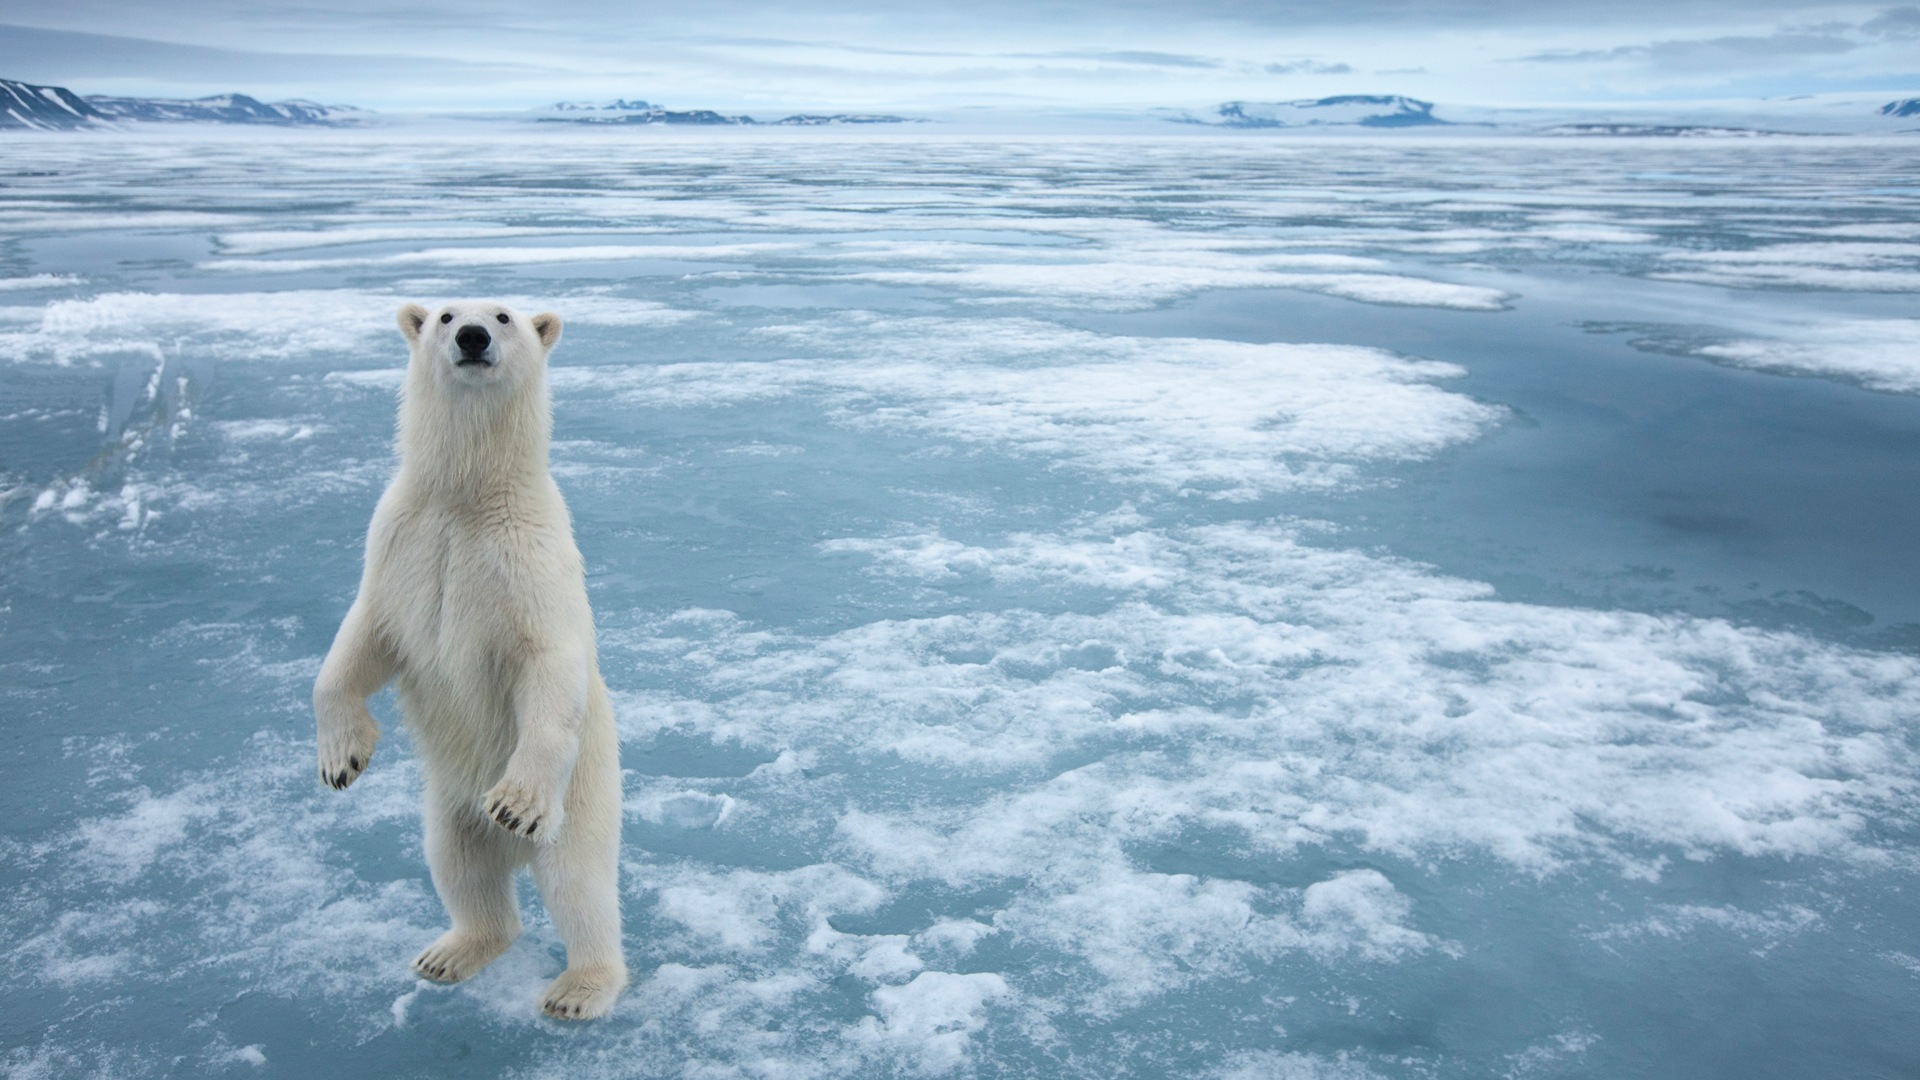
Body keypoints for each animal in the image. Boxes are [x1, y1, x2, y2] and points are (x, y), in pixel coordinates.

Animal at [307, 299, 622, 1014]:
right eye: (446, 314)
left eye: (504, 316)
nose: (472, 337)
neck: (466, 497)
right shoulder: (400, 542)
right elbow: (362, 640)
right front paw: (342, 759)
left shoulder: (529, 559)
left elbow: (548, 661)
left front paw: (515, 803)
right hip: (449, 804)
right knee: (459, 867)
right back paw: (449, 952)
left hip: (583, 795)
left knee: (578, 884)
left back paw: (580, 988)